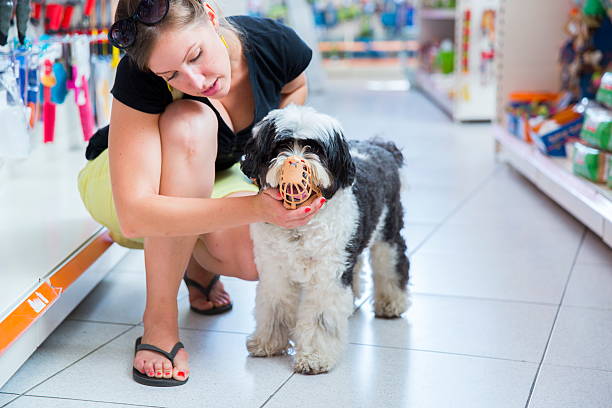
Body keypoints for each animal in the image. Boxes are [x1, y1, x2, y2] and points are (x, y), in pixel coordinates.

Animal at [240, 104, 412, 372]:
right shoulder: (274, 270)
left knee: (392, 263)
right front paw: (268, 342)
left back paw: (392, 302)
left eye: (315, 149)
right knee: (357, 265)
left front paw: (314, 357)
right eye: (281, 145)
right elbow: (274, 306)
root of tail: (380, 148)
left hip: (387, 230)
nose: (294, 161)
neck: (300, 228)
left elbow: (320, 317)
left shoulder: (327, 276)